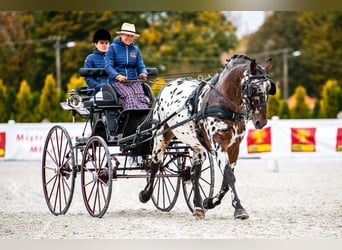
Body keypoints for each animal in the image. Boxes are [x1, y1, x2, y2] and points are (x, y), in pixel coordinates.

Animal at [138, 54, 276, 219]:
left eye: (268, 87)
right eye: (253, 88)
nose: (261, 121)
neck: (224, 103)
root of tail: (166, 86)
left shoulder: (234, 146)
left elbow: (226, 180)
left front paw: (209, 202)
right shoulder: (219, 144)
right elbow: (229, 175)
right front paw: (239, 209)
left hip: (198, 145)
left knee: (194, 173)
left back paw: (198, 206)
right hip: (161, 137)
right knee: (155, 164)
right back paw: (145, 194)